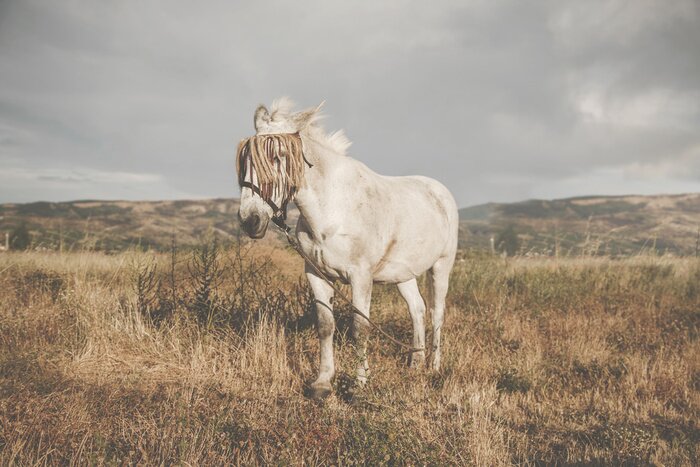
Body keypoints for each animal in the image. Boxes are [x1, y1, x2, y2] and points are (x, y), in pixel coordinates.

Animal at [236, 98, 458, 399]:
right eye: (246, 159)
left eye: (278, 156)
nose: (251, 220)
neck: (332, 208)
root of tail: (439, 191)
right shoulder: (316, 274)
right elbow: (325, 325)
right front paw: (322, 383)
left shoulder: (360, 277)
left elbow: (360, 328)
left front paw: (359, 383)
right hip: (404, 274)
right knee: (417, 309)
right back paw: (415, 363)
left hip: (441, 266)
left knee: (436, 312)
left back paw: (433, 366)